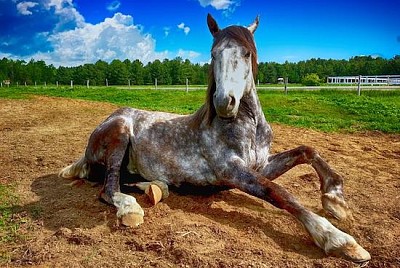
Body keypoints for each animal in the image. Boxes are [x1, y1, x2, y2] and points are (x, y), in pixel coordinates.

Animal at [60, 13, 372, 262]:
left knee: (127, 180)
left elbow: (307, 151)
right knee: (109, 187)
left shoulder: (261, 165)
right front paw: (338, 239)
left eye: (246, 53)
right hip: (121, 132)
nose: (224, 102)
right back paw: (130, 208)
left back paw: (156, 188)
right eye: (213, 54)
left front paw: (335, 201)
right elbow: (278, 192)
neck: (248, 127)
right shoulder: (231, 171)